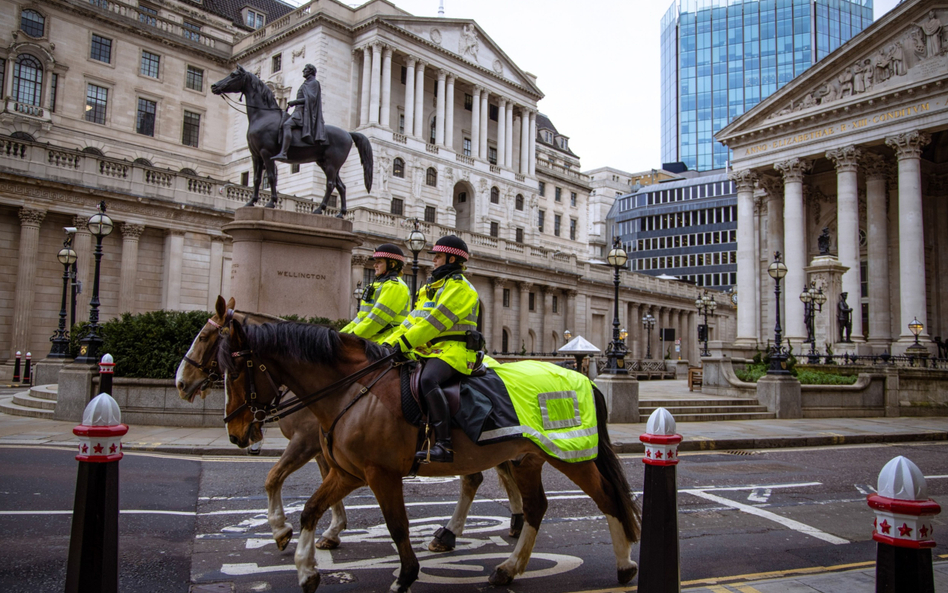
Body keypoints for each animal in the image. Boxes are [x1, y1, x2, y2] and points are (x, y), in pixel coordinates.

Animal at [174, 298, 524, 552]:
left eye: (203, 337)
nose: (180, 383)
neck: (342, 384)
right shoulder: (324, 447)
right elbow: (322, 482)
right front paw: (331, 530)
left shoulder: (304, 442)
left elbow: (273, 478)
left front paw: (282, 529)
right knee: (482, 476)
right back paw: (484, 527)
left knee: (492, 473)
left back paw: (493, 526)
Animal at [211, 65, 374, 215]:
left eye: (233, 75)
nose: (214, 86)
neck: (262, 116)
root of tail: (348, 133)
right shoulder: (255, 154)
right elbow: (256, 179)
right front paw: (251, 202)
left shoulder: (266, 152)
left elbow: (271, 177)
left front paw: (271, 202)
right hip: (326, 163)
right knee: (341, 186)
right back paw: (340, 213)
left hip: (332, 164)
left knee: (330, 184)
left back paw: (319, 209)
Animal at [215, 316, 640, 588]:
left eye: (234, 373)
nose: (236, 434)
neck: (353, 390)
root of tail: (582, 376)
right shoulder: (348, 473)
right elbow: (309, 509)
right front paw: (305, 569)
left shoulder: (380, 474)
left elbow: (397, 525)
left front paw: (405, 576)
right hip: (527, 459)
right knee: (536, 507)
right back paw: (508, 568)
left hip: (572, 457)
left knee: (606, 498)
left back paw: (624, 565)